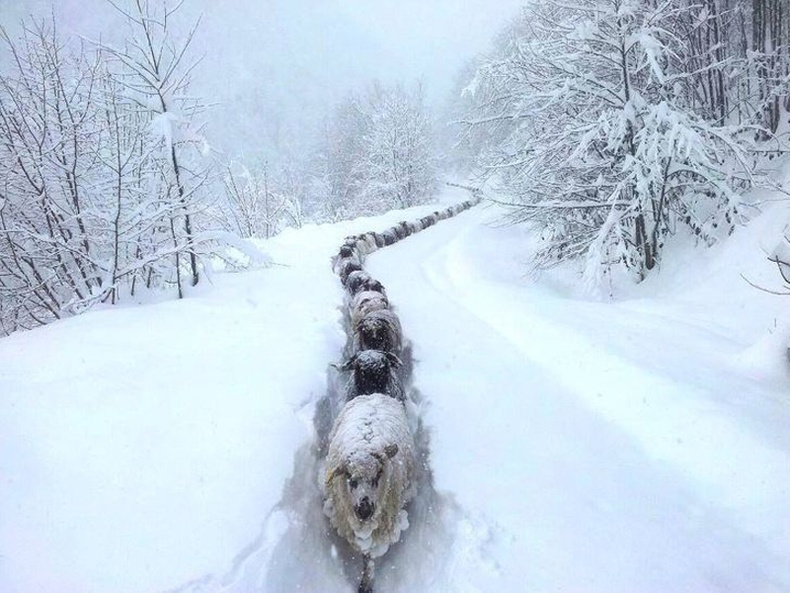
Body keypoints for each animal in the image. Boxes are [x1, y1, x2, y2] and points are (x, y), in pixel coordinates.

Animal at [324, 390, 420, 588]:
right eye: (351, 479)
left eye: (377, 476)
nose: (365, 510)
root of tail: (372, 394)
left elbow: (368, 557)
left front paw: (366, 582)